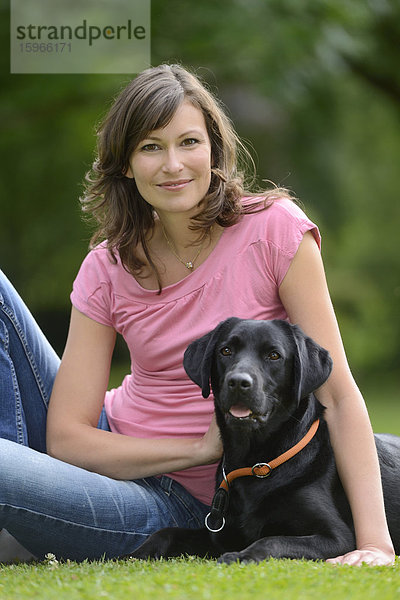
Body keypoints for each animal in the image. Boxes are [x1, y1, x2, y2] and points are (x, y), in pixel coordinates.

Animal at [128, 318, 400, 564]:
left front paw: (241, 556)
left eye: (274, 355)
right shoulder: (221, 534)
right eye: (226, 351)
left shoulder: (337, 537)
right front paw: (134, 554)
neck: (257, 463)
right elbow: (167, 532)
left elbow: (271, 540)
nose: (239, 382)